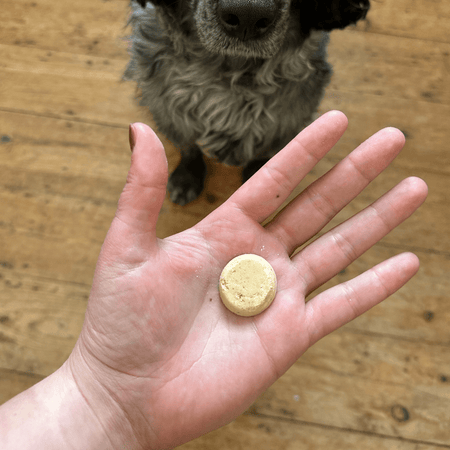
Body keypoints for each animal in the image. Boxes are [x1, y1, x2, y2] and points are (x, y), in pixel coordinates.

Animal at [123, 0, 370, 205]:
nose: (248, 15)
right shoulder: (168, 110)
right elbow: (189, 146)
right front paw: (187, 176)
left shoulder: (287, 120)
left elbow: (264, 152)